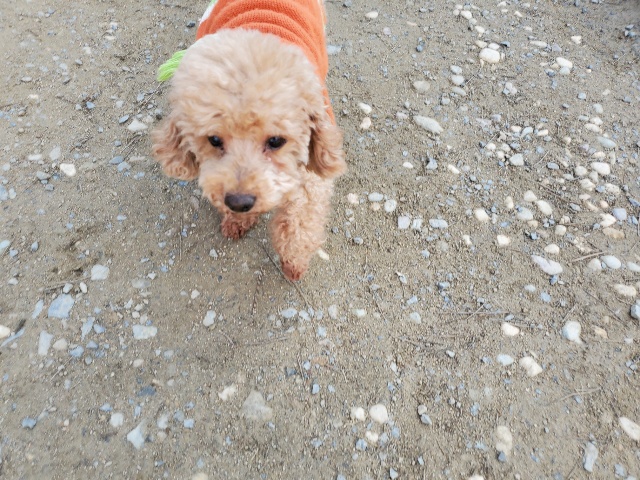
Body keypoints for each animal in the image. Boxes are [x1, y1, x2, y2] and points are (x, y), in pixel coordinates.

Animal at [152, 0, 346, 281]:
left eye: (276, 141)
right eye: (214, 139)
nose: (239, 202)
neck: (260, 31)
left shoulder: (311, 161)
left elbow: (300, 216)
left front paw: (294, 260)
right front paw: (236, 220)